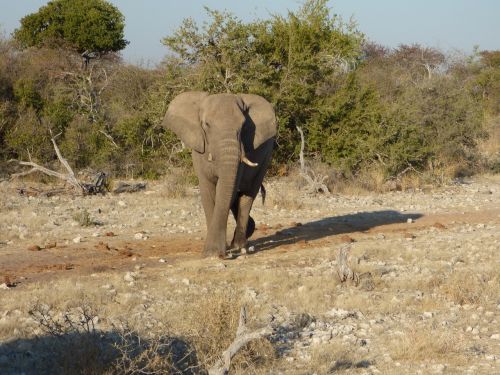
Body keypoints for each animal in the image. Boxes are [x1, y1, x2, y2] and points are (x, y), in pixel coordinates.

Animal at [162, 92, 278, 258]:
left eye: (244, 126)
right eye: (206, 125)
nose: (221, 254)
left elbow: (227, 190)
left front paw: (214, 252)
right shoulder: (199, 148)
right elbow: (208, 190)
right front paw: (212, 253)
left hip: (266, 157)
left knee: (248, 194)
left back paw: (240, 246)